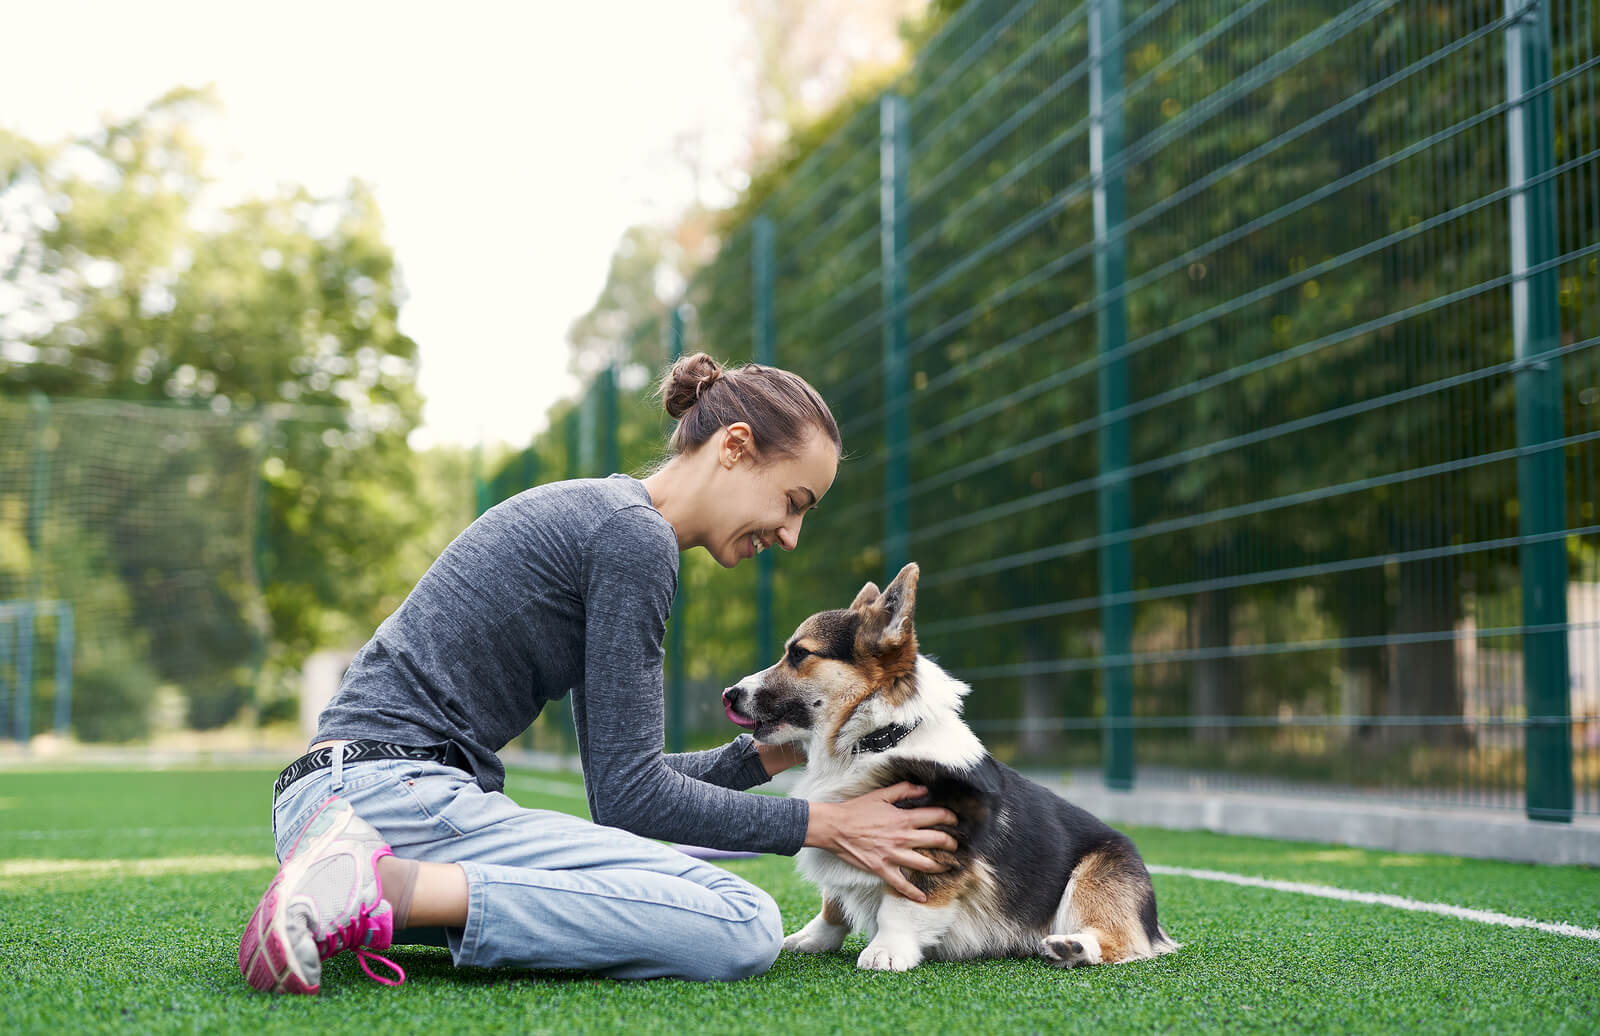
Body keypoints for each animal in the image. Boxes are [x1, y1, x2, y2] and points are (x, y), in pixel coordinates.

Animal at [723, 559, 1177, 972]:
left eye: (799, 654)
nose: (729, 694)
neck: (876, 738)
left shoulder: (928, 845)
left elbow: (902, 904)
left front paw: (887, 951)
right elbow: (832, 902)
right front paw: (812, 939)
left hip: (1095, 874)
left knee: (1122, 942)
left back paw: (1074, 947)